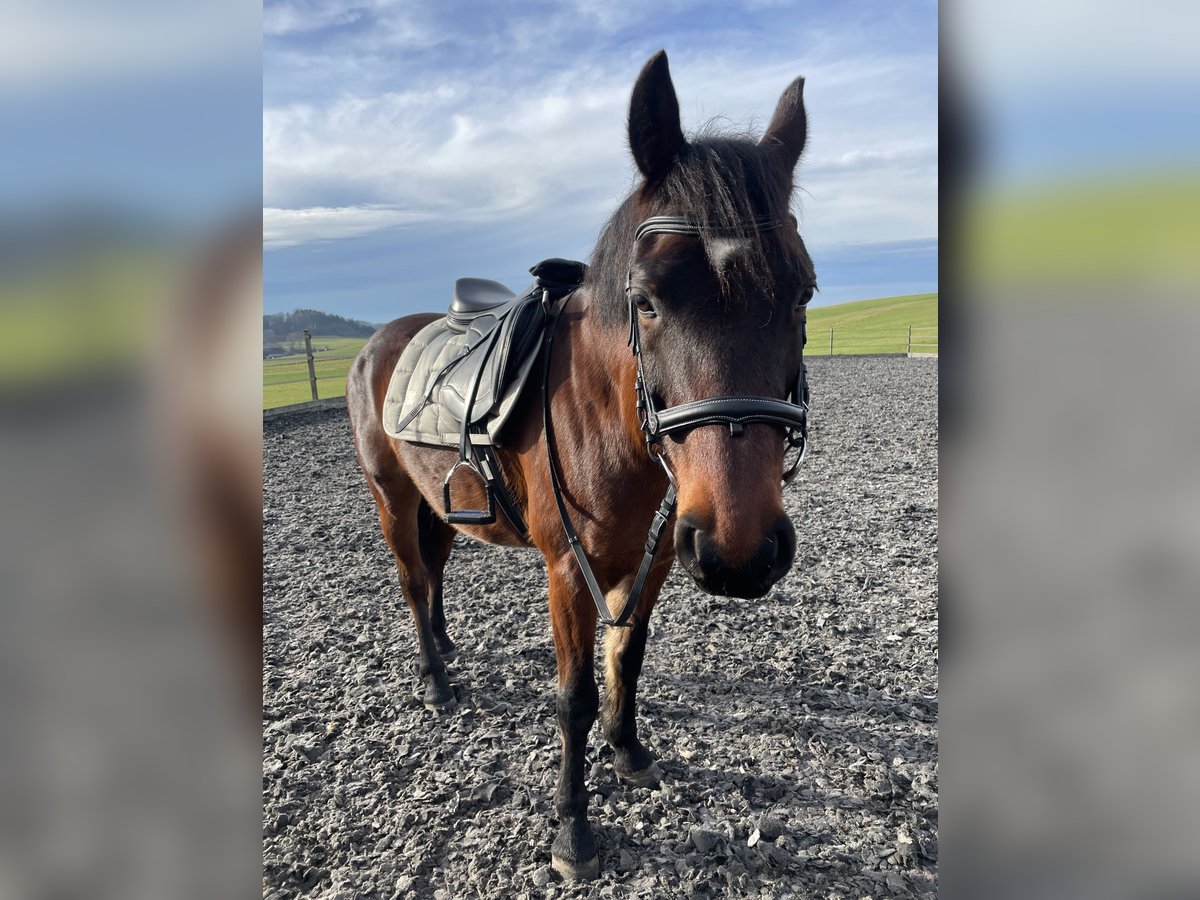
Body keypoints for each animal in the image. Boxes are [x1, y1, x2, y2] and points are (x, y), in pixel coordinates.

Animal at [347, 50, 816, 880]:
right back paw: (435, 679)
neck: (612, 422)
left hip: (441, 506)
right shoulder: (567, 569)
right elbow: (573, 696)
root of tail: (382, 339)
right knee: (410, 580)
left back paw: (447, 646)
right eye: (648, 299)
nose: (740, 550)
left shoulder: (659, 555)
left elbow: (627, 655)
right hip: (393, 499)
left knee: (433, 572)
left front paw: (627, 751)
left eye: (803, 294)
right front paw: (572, 828)